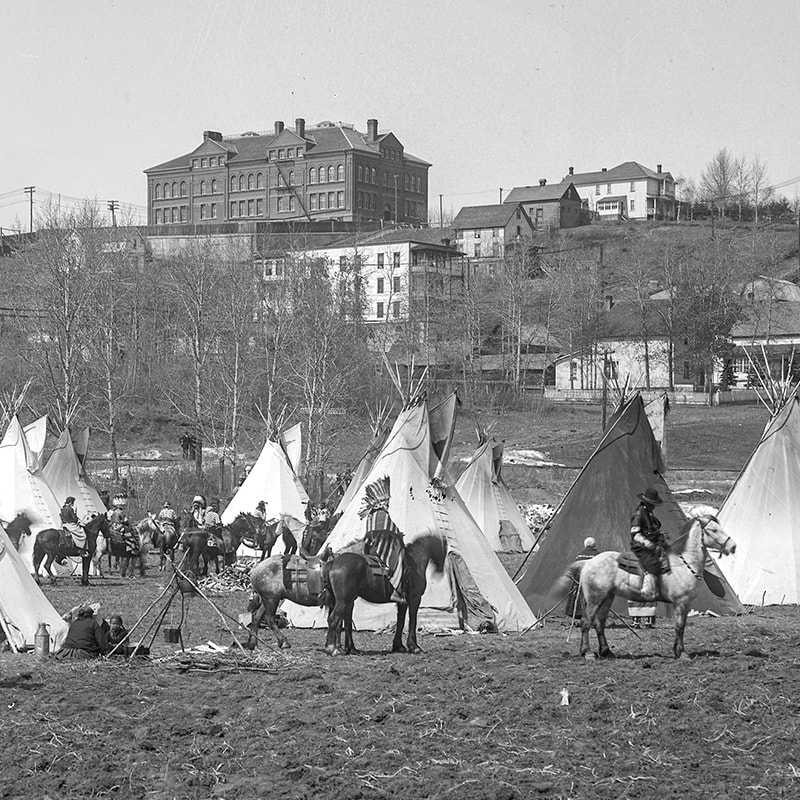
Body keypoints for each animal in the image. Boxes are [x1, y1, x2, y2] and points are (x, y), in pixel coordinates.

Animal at [564, 510, 736, 660]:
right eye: (713, 529)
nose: (733, 546)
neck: (684, 563)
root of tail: (587, 563)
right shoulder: (681, 602)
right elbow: (680, 626)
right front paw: (682, 653)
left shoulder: (685, 604)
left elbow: (680, 626)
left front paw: (677, 651)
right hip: (595, 598)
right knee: (586, 622)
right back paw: (587, 652)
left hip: (607, 597)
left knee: (600, 623)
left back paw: (607, 652)